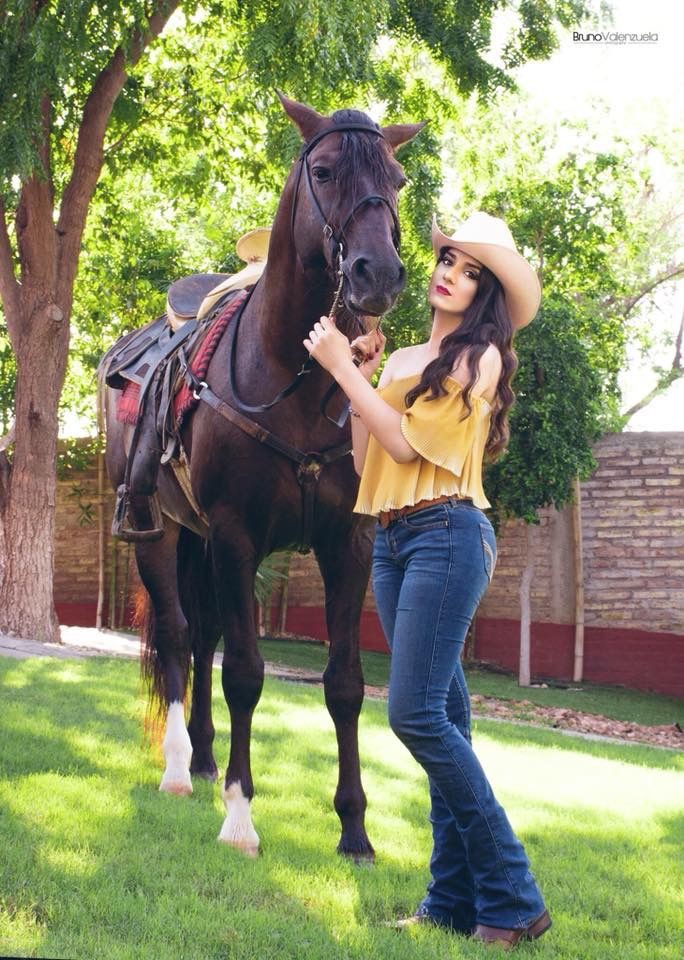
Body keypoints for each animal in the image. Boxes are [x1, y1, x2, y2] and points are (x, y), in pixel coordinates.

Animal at [101, 97, 422, 860]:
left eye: (396, 180)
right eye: (326, 170)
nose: (377, 274)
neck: (293, 376)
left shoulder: (345, 544)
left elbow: (344, 683)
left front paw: (355, 829)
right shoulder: (236, 537)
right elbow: (246, 674)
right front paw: (241, 816)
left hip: (199, 542)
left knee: (204, 636)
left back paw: (206, 758)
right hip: (160, 535)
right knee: (181, 637)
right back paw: (181, 770)